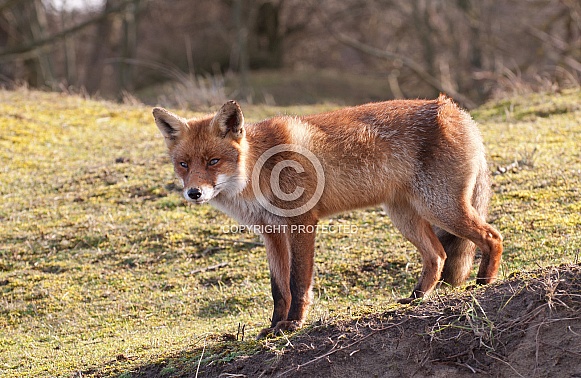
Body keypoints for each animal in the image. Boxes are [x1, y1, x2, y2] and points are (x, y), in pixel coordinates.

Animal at [154, 96, 502, 338]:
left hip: (440, 207)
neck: (257, 171)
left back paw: (484, 284)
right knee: (439, 255)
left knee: (492, 237)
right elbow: (278, 288)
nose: (194, 193)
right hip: (405, 217)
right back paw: (416, 297)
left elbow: (298, 281)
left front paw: (293, 324)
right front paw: (274, 326)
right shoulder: (271, 233)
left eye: (213, 161)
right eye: (184, 164)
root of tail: (456, 110)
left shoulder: (302, 222)